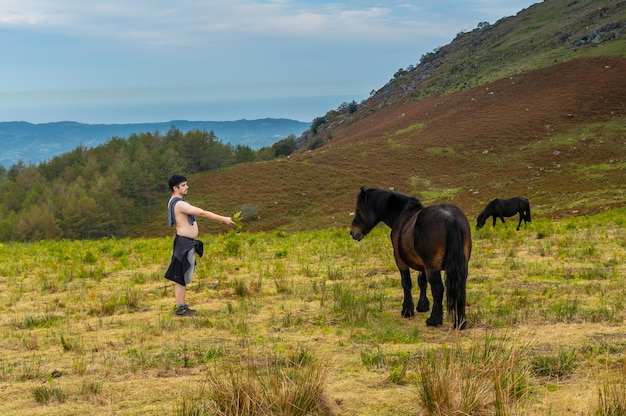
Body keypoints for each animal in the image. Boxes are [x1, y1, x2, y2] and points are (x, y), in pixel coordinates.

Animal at [348, 188, 470, 328]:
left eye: (358, 210)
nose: (353, 232)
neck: (402, 215)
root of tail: (450, 218)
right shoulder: (422, 265)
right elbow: (422, 282)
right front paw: (422, 306)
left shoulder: (400, 261)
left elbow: (406, 283)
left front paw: (407, 310)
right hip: (461, 266)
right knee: (460, 287)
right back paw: (460, 321)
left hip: (432, 268)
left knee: (438, 289)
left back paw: (434, 320)